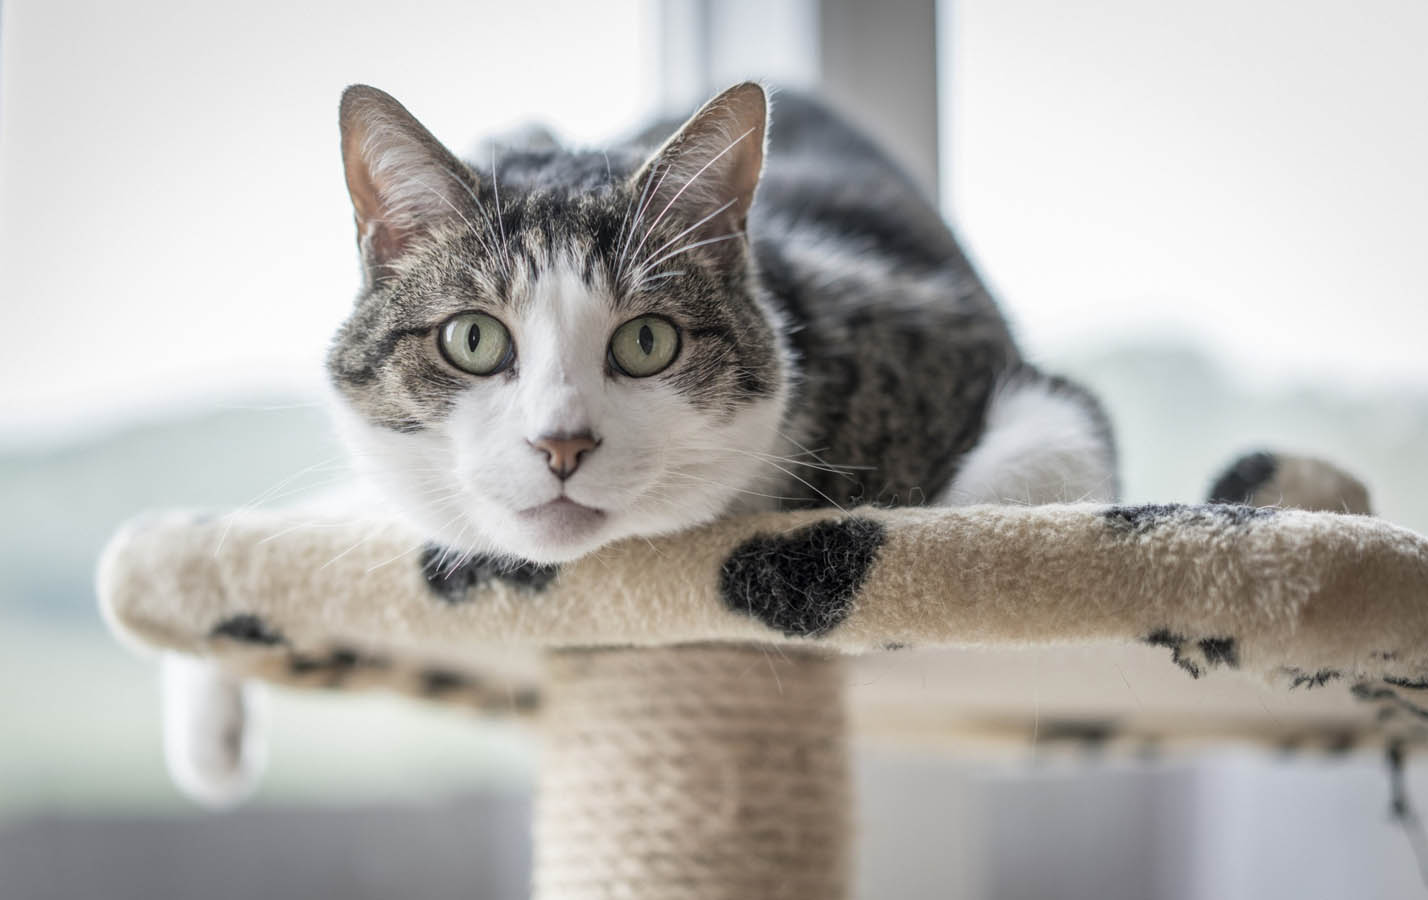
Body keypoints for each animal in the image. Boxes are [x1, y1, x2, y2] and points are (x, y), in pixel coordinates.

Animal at [164, 82, 1113, 805]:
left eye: (647, 341)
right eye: (473, 338)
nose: (561, 444)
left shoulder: (1004, 381)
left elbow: (1009, 506)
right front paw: (208, 722)